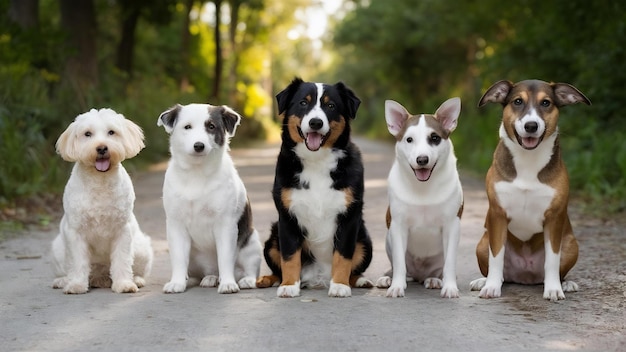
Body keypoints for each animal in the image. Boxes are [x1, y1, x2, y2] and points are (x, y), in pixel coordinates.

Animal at [51, 108, 153, 294]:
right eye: (87, 134)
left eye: (111, 132)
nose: (102, 148)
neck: (100, 181)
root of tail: (101, 276)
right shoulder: (76, 232)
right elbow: (77, 262)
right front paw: (76, 284)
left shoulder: (122, 231)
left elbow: (122, 260)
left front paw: (123, 283)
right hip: (58, 249)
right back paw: (63, 280)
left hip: (142, 248)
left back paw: (136, 279)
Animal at [158, 102, 264, 294]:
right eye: (187, 127)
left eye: (211, 126)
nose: (199, 145)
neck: (197, 173)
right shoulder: (176, 224)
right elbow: (178, 258)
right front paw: (177, 282)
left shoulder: (226, 225)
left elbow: (225, 257)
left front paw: (228, 283)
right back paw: (207, 278)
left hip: (251, 242)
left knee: (250, 268)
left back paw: (245, 280)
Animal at [256, 79, 372, 296]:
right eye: (303, 103)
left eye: (331, 105)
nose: (315, 123)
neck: (317, 161)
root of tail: (319, 278)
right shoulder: (287, 217)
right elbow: (289, 256)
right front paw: (289, 285)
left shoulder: (349, 217)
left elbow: (344, 255)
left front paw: (340, 285)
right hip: (272, 238)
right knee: (277, 269)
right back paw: (265, 279)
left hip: (365, 240)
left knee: (355, 267)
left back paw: (360, 280)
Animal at [372, 97, 460, 298]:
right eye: (409, 139)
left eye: (434, 138)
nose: (422, 160)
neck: (423, 186)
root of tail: (420, 274)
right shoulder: (398, 226)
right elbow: (399, 262)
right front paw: (396, 286)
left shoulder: (452, 225)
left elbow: (451, 262)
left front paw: (450, 287)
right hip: (388, 238)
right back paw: (387, 278)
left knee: (437, 270)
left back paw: (434, 279)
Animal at [468, 80, 588, 302]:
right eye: (517, 101)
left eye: (546, 103)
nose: (531, 126)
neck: (528, 161)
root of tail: (525, 275)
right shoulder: (497, 215)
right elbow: (496, 256)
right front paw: (491, 286)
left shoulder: (554, 218)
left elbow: (552, 259)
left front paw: (553, 289)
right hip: (482, 242)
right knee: (501, 271)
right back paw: (484, 281)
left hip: (571, 243)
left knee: (560, 269)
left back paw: (566, 283)